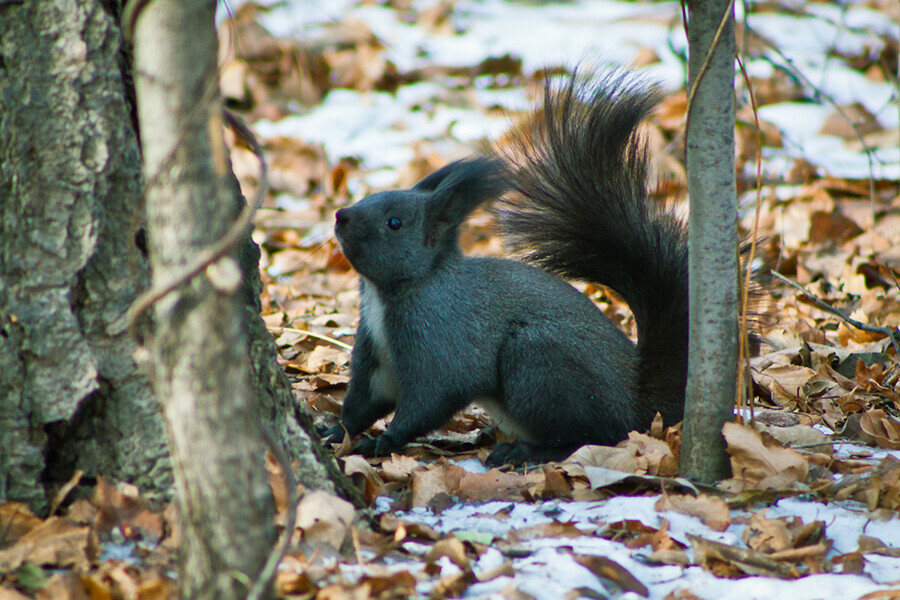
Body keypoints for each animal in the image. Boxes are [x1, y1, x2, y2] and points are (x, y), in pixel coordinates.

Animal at [326, 70, 692, 464]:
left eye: (395, 223)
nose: (341, 216)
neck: (389, 294)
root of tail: (637, 405)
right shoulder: (376, 355)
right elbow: (365, 402)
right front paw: (337, 430)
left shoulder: (441, 340)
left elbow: (430, 399)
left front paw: (386, 440)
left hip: (537, 362)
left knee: (591, 436)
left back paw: (523, 450)